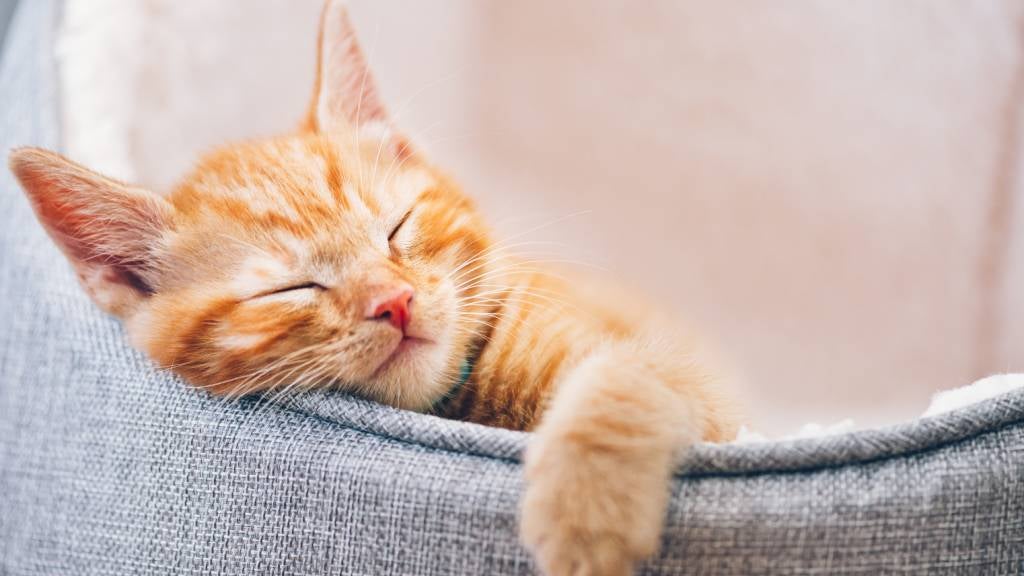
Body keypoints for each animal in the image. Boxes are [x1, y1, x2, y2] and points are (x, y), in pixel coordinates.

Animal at [9, 2, 737, 569]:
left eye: (397, 227)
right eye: (290, 289)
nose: (395, 302)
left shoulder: (707, 392)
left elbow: (628, 378)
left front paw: (586, 512)